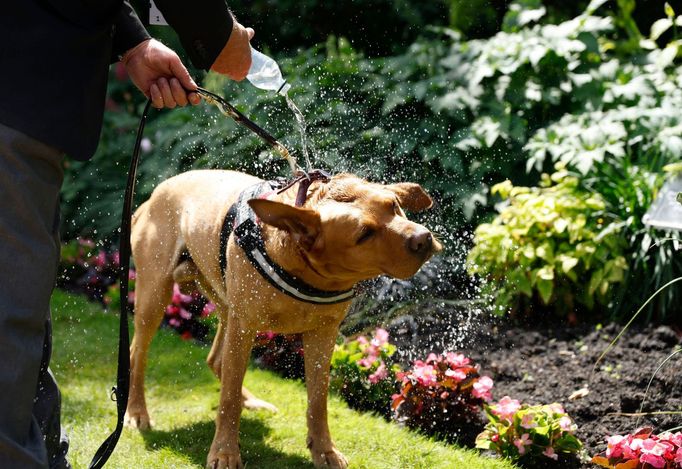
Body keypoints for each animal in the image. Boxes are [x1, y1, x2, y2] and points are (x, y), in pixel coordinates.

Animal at [123, 169, 440, 468]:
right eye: (364, 234)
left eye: (394, 205)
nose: (423, 238)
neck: (306, 270)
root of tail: (154, 195)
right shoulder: (244, 328)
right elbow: (228, 400)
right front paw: (224, 452)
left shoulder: (323, 335)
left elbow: (318, 400)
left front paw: (324, 450)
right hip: (156, 294)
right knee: (138, 352)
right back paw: (136, 412)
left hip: (227, 303)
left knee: (218, 361)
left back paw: (250, 400)